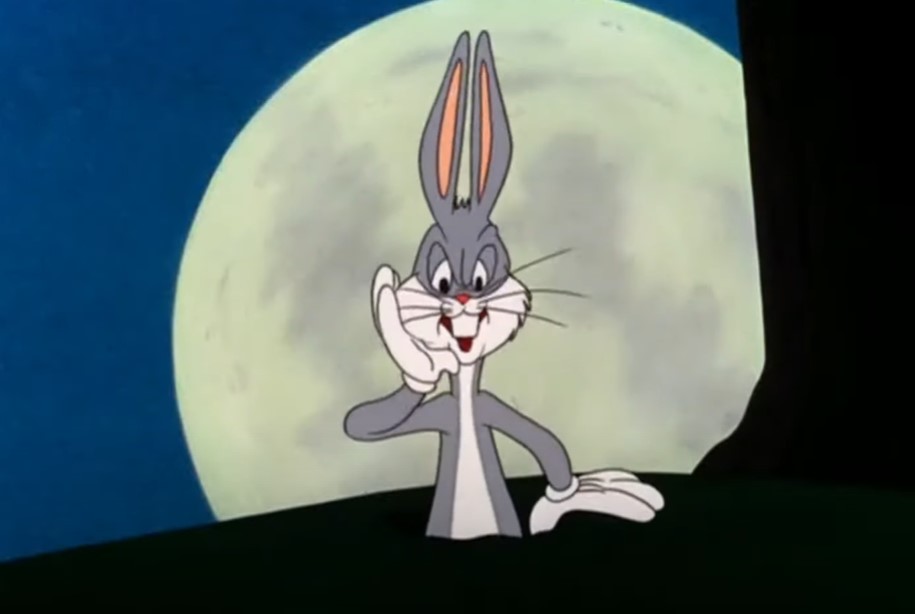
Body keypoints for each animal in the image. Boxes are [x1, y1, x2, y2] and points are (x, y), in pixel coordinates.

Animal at [343, 30, 665, 540]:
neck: (465, 406)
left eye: (481, 276)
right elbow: (363, 422)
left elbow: (547, 445)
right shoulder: (440, 416)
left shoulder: (491, 407)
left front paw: (580, 496)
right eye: (439, 279)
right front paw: (405, 339)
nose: (461, 296)